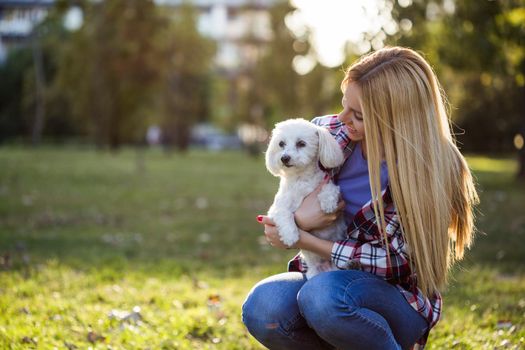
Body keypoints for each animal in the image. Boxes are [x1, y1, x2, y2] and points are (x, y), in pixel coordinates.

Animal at [264, 118, 346, 278]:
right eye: (281, 144)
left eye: (301, 143)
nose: (284, 158)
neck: (301, 180)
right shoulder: (276, 208)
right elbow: (285, 214)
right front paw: (290, 235)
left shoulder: (327, 184)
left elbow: (330, 189)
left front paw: (328, 203)